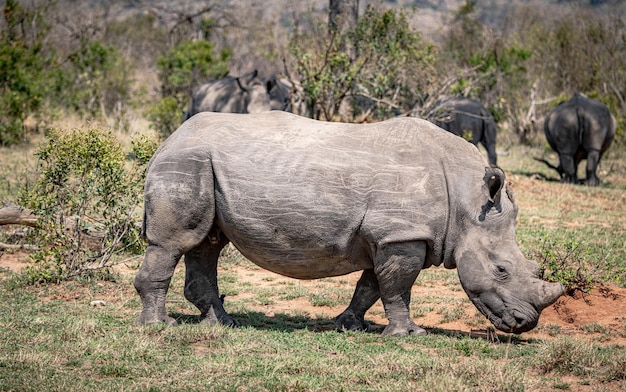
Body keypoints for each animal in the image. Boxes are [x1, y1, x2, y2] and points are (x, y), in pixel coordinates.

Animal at [134, 111, 564, 336]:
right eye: (502, 269)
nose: (526, 324)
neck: (467, 200)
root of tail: (167, 140)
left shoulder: (389, 235)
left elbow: (371, 286)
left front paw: (348, 325)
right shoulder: (401, 235)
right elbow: (398, 287)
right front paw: (409, 335)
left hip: (200, 164)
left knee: (206, 242)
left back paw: (223, 324)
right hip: (185, 163)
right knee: (172, 244)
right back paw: (159, 327)